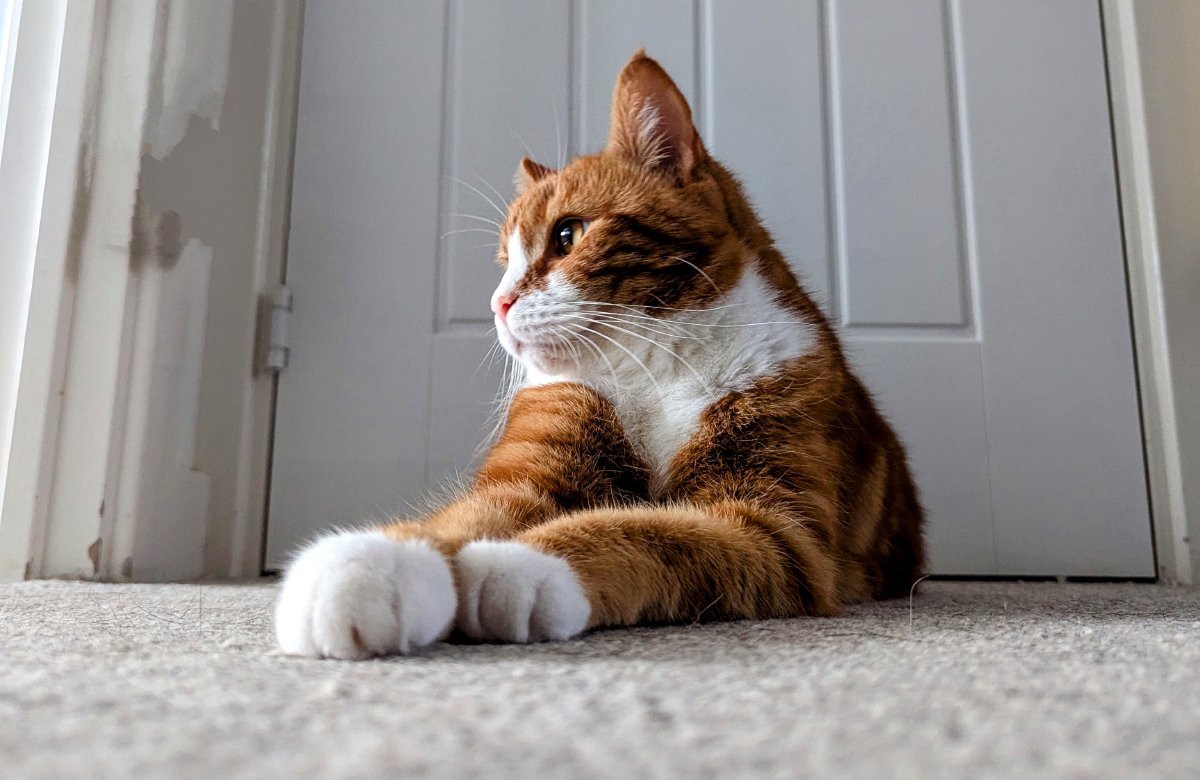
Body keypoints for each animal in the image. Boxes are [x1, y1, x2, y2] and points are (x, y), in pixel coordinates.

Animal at [276, 50, 921, 657]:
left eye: (567, 235)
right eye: (503, 262)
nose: (498, 304)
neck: (658, 366)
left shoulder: (776, 527)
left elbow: (656, 534)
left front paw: (520, 563)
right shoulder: (535, 461)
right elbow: (471, 514)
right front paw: (370, 563)